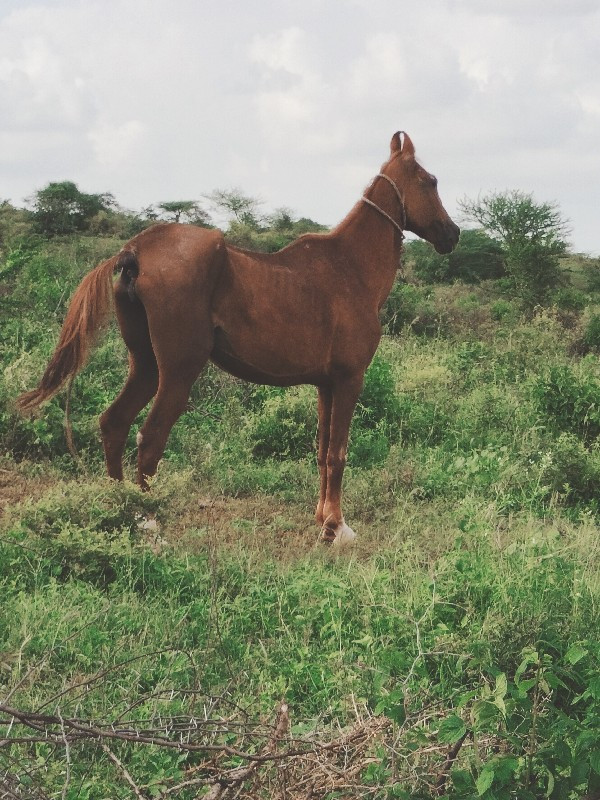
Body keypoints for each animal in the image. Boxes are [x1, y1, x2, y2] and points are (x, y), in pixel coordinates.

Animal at [18, 133, 460, 544]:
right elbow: (338, 453)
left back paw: (120, 507)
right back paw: (149, 521)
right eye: (431, 180)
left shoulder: (325, 384)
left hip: (144, 365)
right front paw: (336, 526)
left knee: (114, 422)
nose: (453, 234)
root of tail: (135, 251)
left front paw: (321, 518)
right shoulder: (350, 379)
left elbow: (321, 452)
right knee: (151, 436)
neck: (349, 268)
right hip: (178, 371)